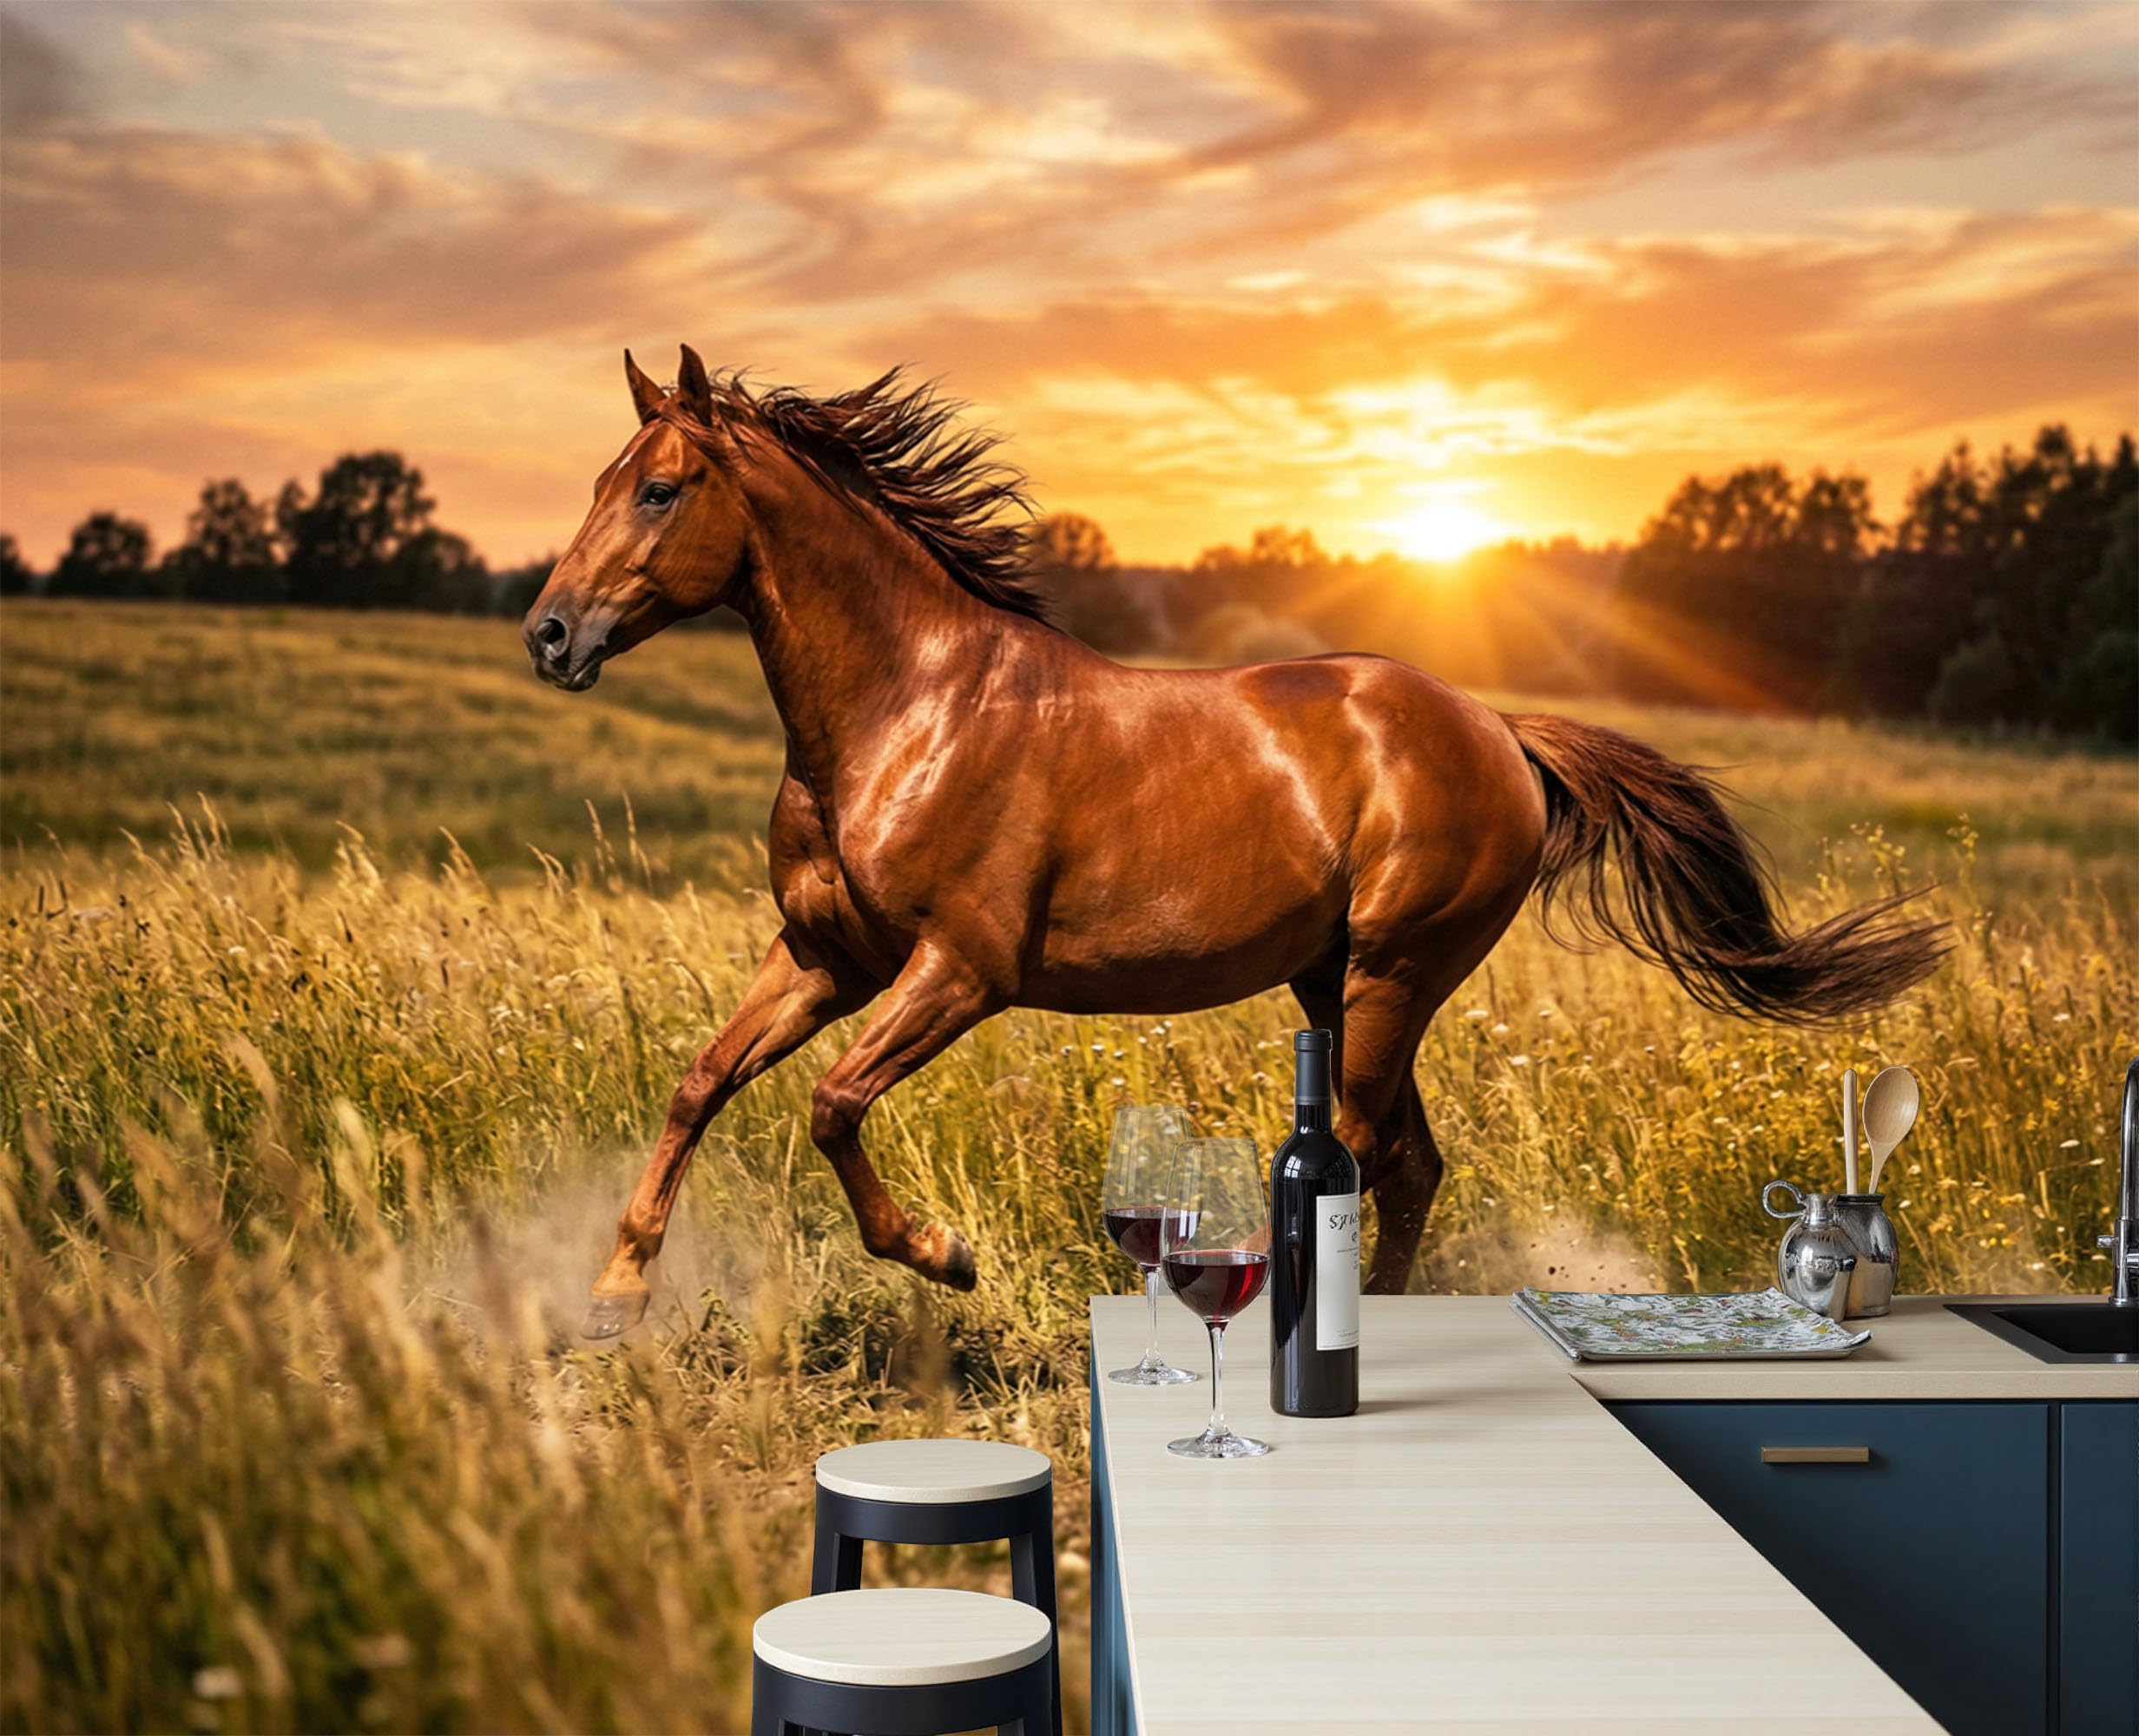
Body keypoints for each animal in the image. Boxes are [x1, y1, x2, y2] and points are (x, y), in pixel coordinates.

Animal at [525, 345, 1949, 1339]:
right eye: (595, 482)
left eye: (659, 489)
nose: (549, 635)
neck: (903, 708)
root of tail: (1499, 728)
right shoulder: (828, 956)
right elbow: (700, 1081)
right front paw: (612, 1292)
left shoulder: (961, 972)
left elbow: (829, 1104)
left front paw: (949, 1256)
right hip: (1335, 978)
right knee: (1413, 1162)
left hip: (1391, 973)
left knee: (1370, 1155)